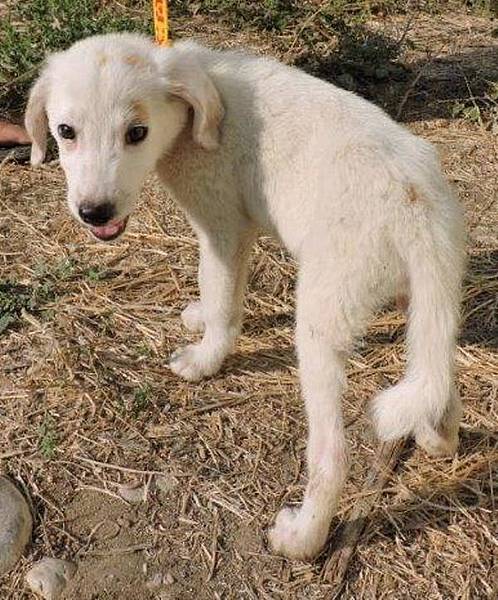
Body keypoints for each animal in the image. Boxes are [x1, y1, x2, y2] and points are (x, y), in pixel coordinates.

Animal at [25, 33, 465, 560]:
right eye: (65, 131)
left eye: (137, 132)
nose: (95, 213)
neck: (195, 115)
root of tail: (424, 215)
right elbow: (215, 298)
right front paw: (198, 319)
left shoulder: (224, 229)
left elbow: (220, 298)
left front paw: (205, 359)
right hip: (421, 304)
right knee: (438, 379)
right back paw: (438, 436)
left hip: (320, 319)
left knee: (332, 456)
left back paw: (302, 538)